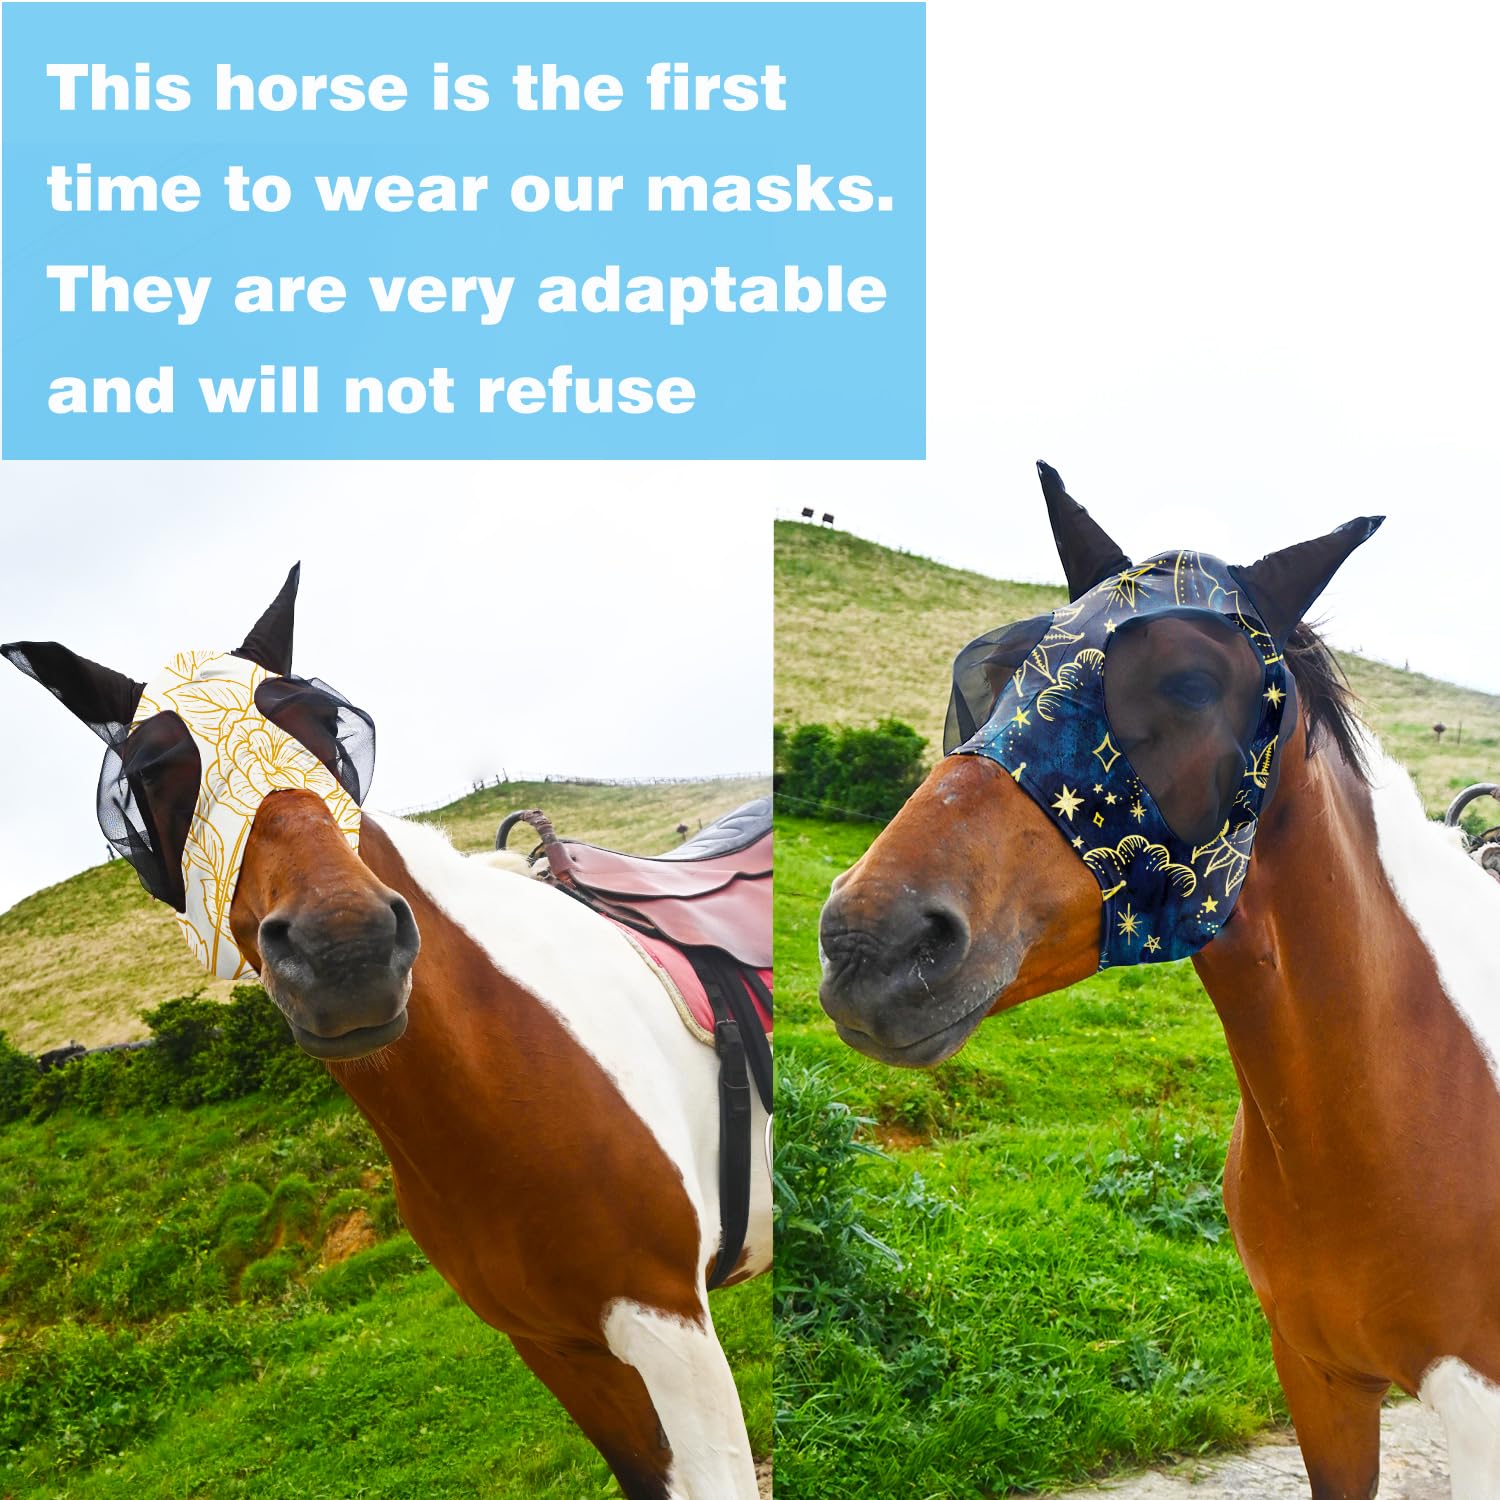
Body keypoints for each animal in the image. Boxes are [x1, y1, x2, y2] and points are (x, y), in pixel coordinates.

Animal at [3, 568, 770, 1500]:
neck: (509, 1077)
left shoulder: (672, 1332)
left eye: (327, 733)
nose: (347, 948)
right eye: (155, 773)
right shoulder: (566, 1350)